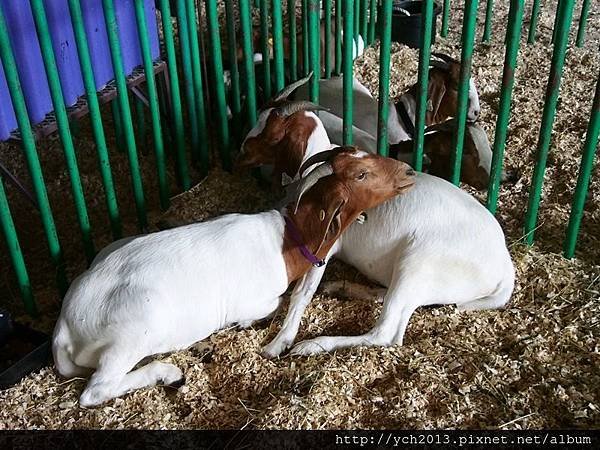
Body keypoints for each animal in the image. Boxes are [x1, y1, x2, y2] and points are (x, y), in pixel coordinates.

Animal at [54, 149, 414, 408]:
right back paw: (168, 372)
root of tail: (64, 328)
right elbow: (272, 305)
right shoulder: (256, 300)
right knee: (95, 391)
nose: (408, 172)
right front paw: (244, 326)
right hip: (130, 336)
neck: (284, 239)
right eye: (361, 175)